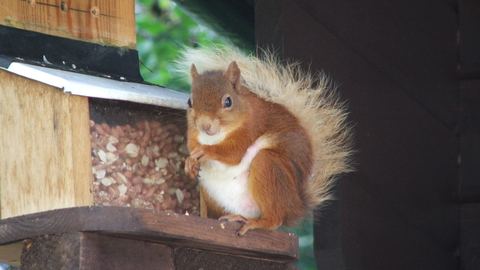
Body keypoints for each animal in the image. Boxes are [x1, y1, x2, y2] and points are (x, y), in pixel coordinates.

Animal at [180, 46, 352, 234]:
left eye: (228, 101)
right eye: (189, 101)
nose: (204, 125)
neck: (216, 135)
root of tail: (294, 206)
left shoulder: (251, 128)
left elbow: (234, 154)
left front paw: (206, 151)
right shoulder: (193, 132)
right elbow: (192, 146)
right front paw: (189, 161)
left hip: (268, 169)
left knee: (274, 220)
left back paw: (253, 222)